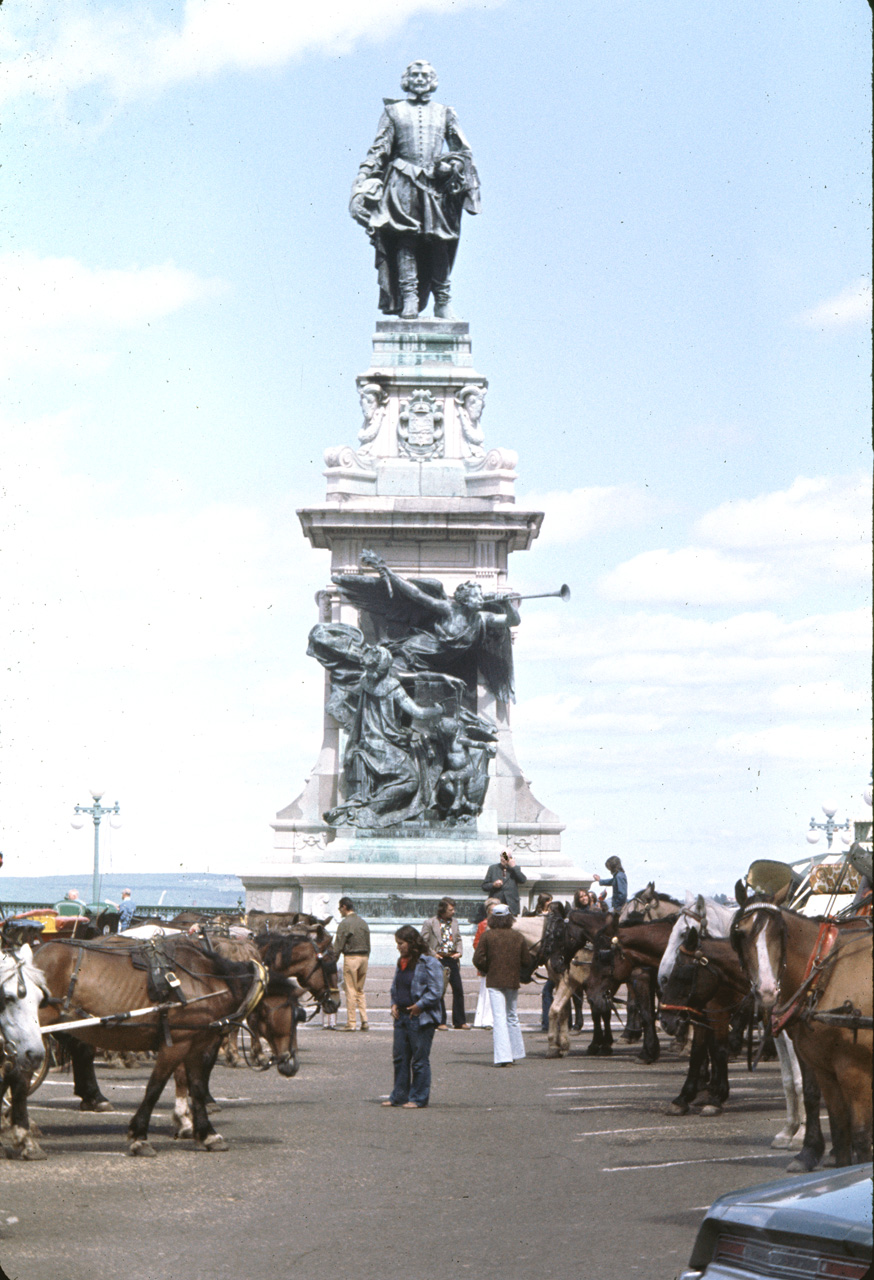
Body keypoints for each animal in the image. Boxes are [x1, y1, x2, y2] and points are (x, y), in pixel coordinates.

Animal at [737, 901, 870, 1172]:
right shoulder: (825, 1068)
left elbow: (861, 1135)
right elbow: (838, 1129)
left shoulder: (855, 1069)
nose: (767, 991)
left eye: (780, 933)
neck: (827, 973)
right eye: (741, 934)